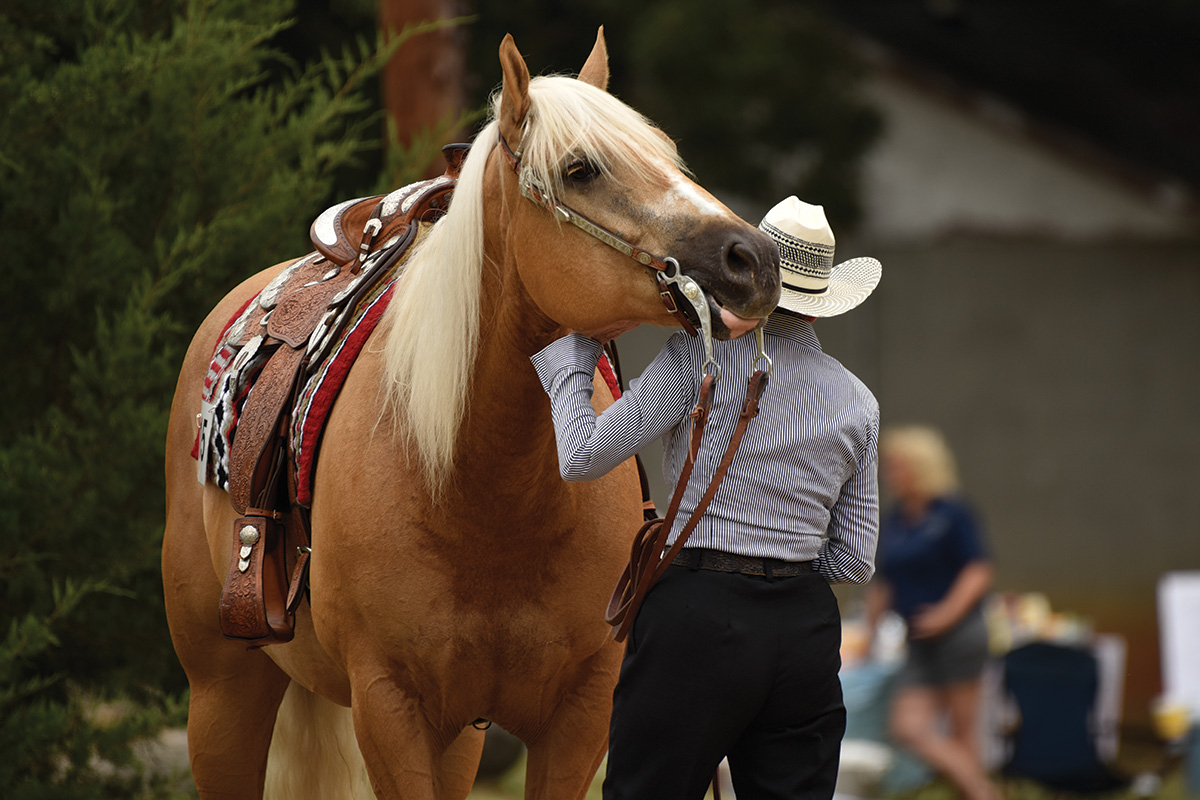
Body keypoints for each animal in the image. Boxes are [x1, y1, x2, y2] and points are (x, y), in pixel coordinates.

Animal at [162, 31, 777, 800]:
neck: (487, 497)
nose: (753, 259)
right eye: (579, 169)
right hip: (223, 694)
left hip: (456, 739)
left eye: (666, 153)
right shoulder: (390, 707)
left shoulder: (579, 715)